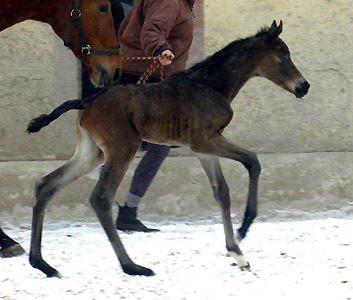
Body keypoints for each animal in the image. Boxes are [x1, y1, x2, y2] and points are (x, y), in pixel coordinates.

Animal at [27, 21, 308, 278]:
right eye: (283, 54)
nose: (304, 86)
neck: (211, 85)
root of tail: (87, 101)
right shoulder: (204, 140)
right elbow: (252, 160)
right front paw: (244, 228)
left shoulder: (204, 147)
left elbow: (222, 192)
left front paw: (237, 253)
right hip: (122, 148)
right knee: (101, 198)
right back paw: (132, 267)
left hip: (92, 153)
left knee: (46, 184)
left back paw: (43, 264)